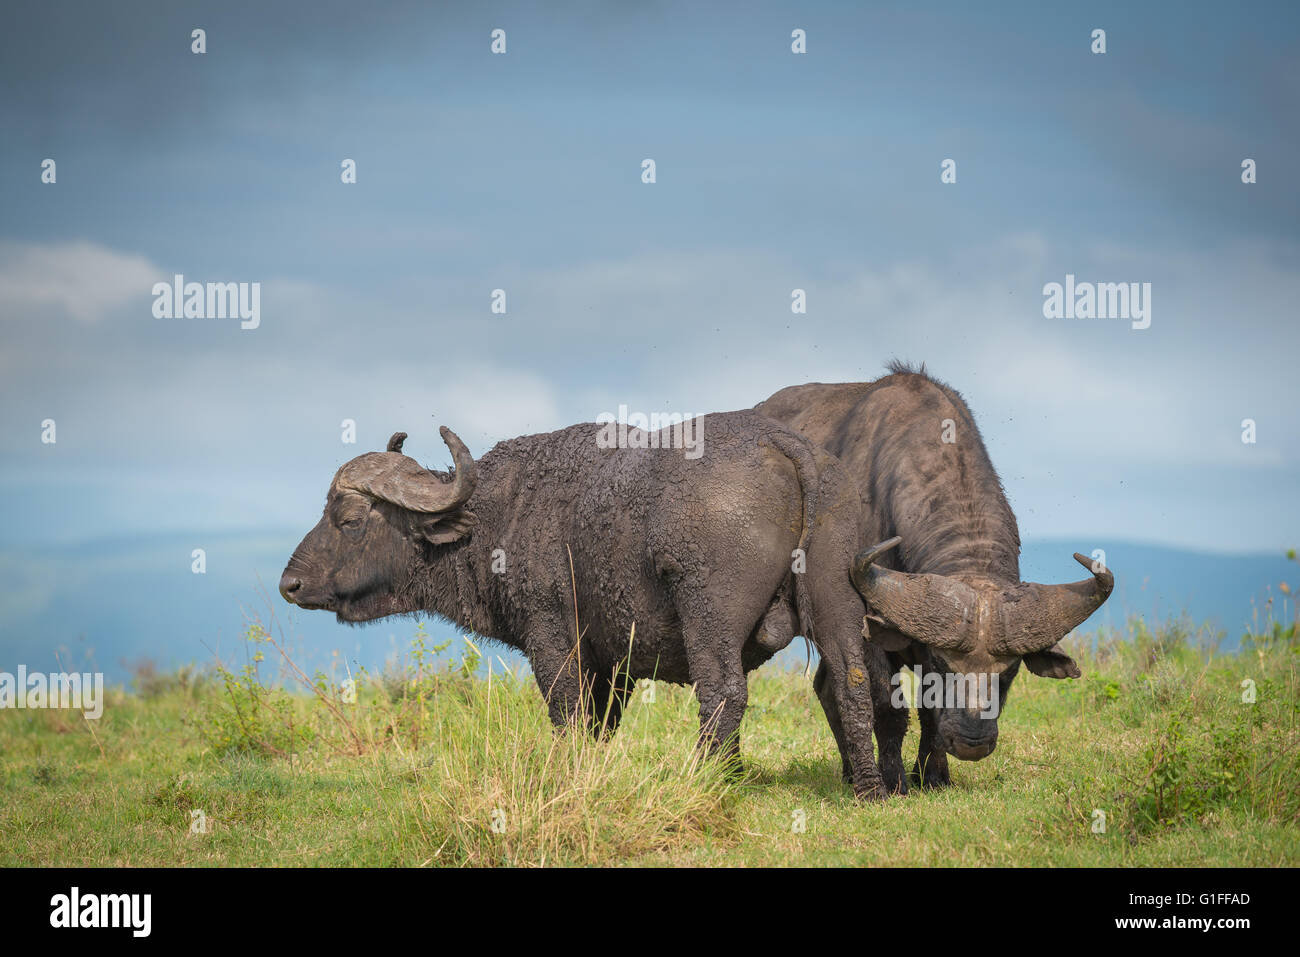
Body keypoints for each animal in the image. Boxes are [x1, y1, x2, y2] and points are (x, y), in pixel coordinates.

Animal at [282, 410, 894, 800]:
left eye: (349, 519)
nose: (289, 583)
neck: (500, 515)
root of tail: (786, 446)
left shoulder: (555, 642)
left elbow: (568, 714)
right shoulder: (610, 665)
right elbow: (600, 724)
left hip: (707, 613)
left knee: (723, 692)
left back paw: (708, 779)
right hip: (837, 598)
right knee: (851, 681)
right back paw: (868, 790)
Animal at [759, 361, 1112, 790]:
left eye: (1009, 671)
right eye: (945, 665)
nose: (973, 741)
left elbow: (929, 715)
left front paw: (934, 776)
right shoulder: (871, 634)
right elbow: (886, 706)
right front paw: (894, 781)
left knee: (827, 687)